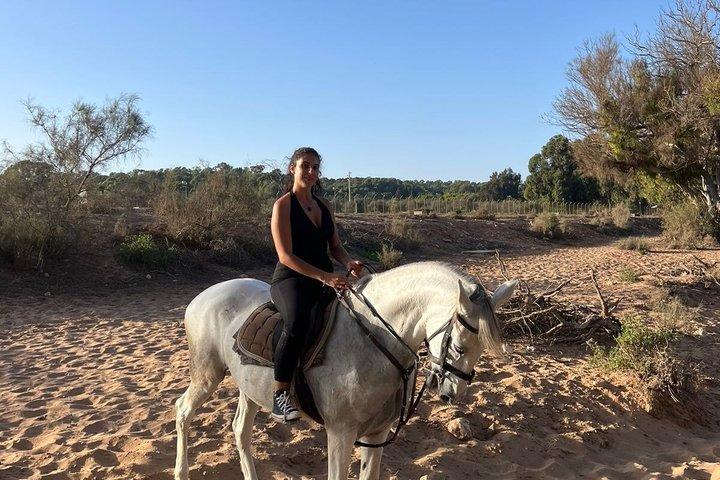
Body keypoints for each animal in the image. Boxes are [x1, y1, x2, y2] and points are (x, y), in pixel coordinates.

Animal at [173, 261, 517, 480]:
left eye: (481, 351)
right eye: (458, 346)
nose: (452, 393)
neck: (372, 338)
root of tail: (203, 296)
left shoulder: (377, 434)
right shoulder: (340, 434)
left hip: (250, 389)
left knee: (240, 430)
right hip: (207, 375)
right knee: (182, 411)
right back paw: (181, 472)